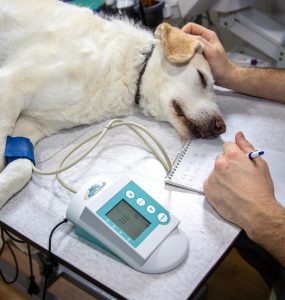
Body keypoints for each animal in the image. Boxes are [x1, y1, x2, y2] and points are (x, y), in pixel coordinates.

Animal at [0, 0, 225, 206]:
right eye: (202, 77)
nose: (221, 127)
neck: (131, 69)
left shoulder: (31, 125)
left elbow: (22, 166)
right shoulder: (10, 86)